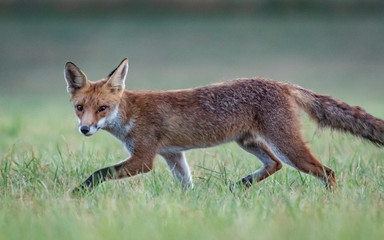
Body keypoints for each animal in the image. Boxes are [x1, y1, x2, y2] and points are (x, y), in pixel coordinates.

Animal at [64, 58, 382, 193]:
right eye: (80, 108)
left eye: (102, 109)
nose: (85, 129)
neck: (129, 113)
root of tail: (282, 84)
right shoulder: (173, 154)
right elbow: (186, 185)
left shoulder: (144, 159)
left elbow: (99, 172)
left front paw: (78, 193)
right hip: (249, 141)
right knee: (275, 164)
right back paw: (239, 186)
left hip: (287, 145)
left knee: (327, 172)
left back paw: (331, 203)